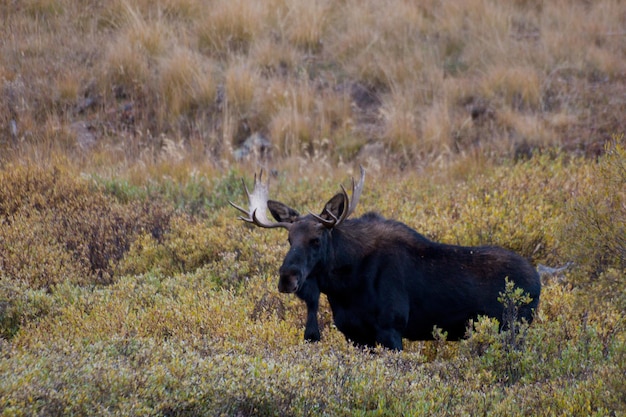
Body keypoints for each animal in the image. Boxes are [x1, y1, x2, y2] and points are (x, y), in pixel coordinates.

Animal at [229, 167, 536, 350]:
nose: (287, 278)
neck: (344, 287)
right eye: (289, 239)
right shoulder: (354, 334)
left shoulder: (391, 329)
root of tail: (538, 280)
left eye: (316, 240)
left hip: (514, 330)